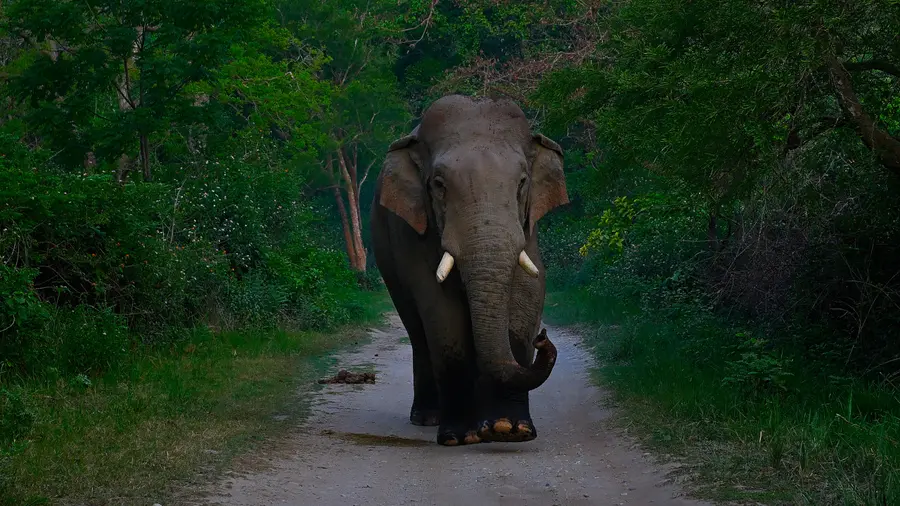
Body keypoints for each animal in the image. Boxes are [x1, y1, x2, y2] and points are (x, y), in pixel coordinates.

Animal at [370, 94, 569, 446]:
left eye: (522, 183)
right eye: (438, 185)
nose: (543, 339)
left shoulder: (528, 227)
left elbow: (528, 292)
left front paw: (510, 429)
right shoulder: (415, 232)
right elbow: (440, 308)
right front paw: (459, 437)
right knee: (416, 329)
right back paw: (428, 418)